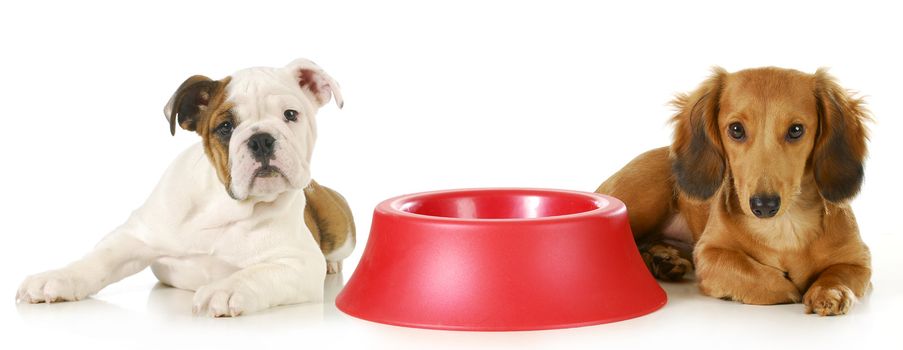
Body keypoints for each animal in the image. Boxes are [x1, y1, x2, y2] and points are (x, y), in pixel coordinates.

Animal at [16, 58, 356, 318]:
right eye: (225, 127)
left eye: (290, 115)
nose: (261, 139)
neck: (226, 204)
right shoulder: (134, 237)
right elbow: (98, 260)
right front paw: (57, 277)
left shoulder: (299, 263)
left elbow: (259, 273)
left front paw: (226, 289)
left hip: (343, 234)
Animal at [596, 67, 872, 316]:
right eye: (736, 129)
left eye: (796, 130)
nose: (764, 206)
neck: (784, 226)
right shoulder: (709, 253)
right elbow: (754, 273)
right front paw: (788, 288)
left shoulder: (859, 260)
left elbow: (838, 273)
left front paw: (830, 291)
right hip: (643, 200)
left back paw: (663, 259)